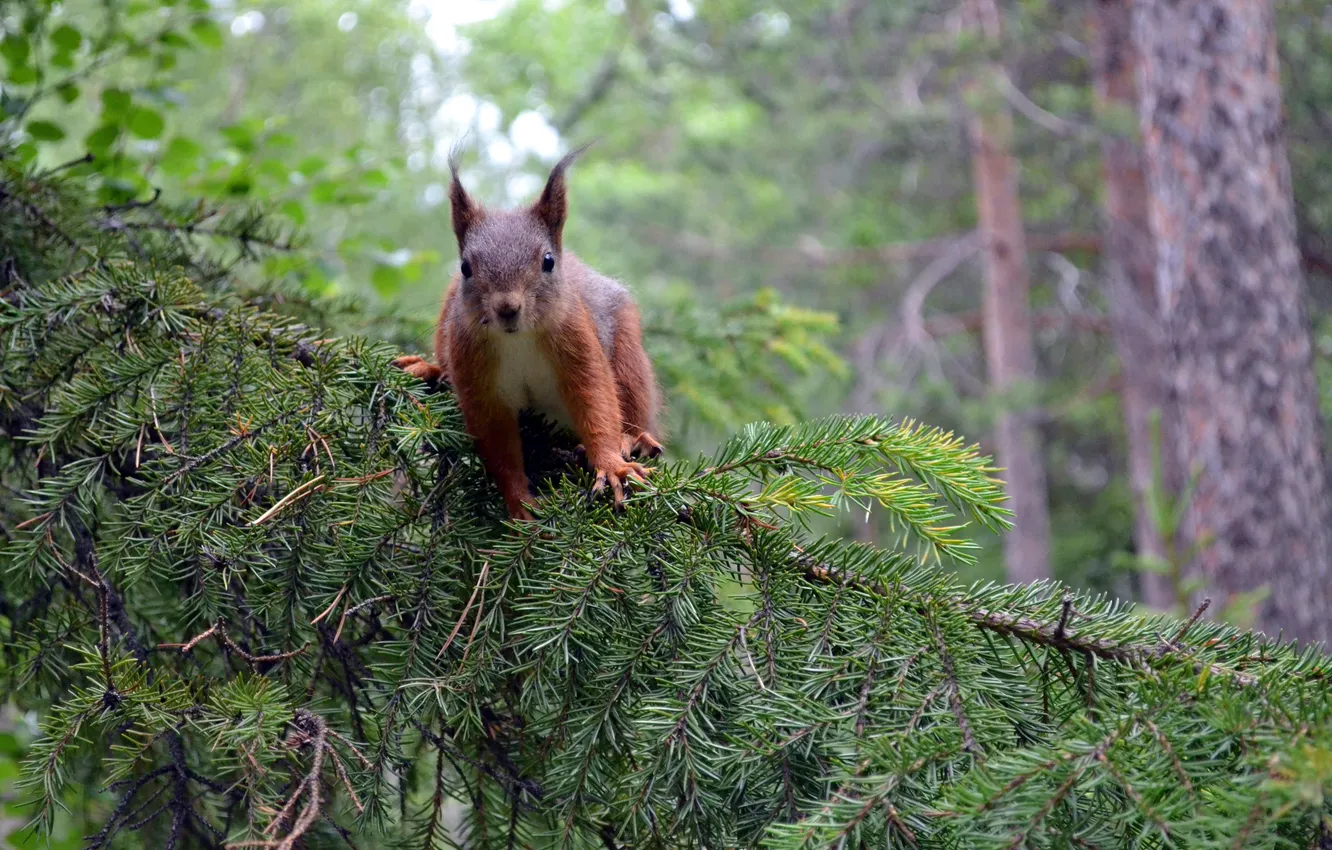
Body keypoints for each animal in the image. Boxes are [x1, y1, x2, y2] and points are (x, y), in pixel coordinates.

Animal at [394, 143, 666, 522]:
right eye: (465, 267)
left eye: (548, 261)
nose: (507, 308)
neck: (517, 339)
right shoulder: (476, 377)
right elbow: (499, 448)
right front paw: (519, 504)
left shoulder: (578, 345)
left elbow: (596, 402)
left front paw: (612, 466)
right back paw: (429, 369)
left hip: (627, 352)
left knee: (632, 402)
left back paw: (633, 440)